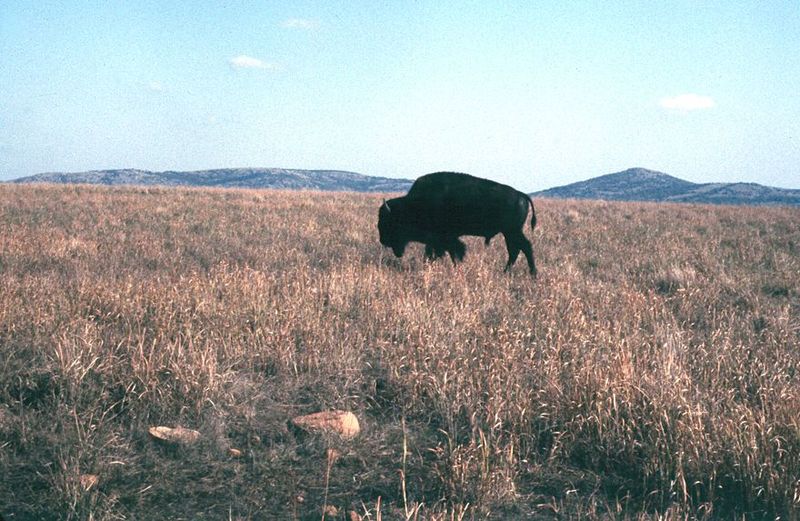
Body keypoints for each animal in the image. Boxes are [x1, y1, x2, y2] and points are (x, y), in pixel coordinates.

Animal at [378, 172, 537, 276]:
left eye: (389, 222)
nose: (383, 240)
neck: (414, 205)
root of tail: (521, 195)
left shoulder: (444, 238)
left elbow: (452, 252)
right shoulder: (438, 240)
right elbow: (440, 253)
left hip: (512, 231)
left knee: (524, 247)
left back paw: (532, 274)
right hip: (509, 233)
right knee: (515, 250)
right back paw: (508, 272)